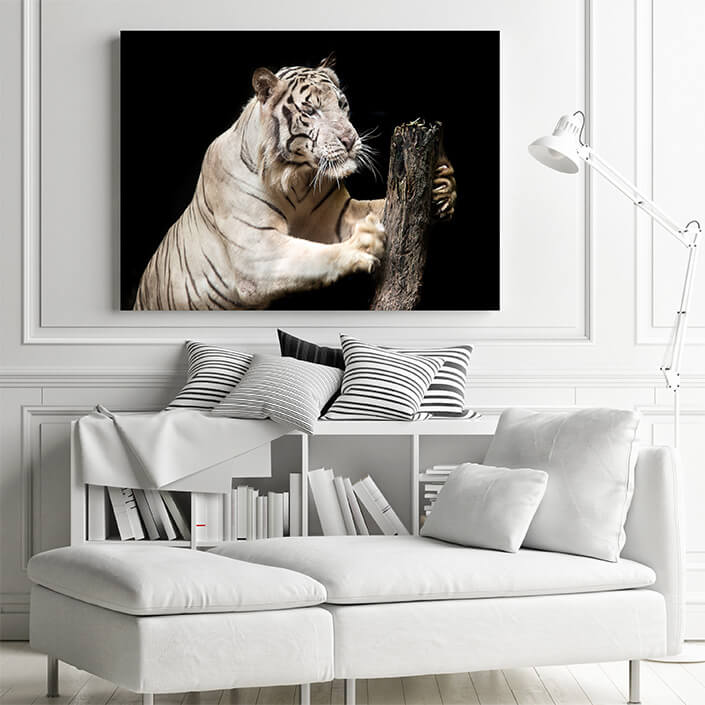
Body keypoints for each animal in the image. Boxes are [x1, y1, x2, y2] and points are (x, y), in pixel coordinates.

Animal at [133, 55, 456, 310]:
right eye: (311, 111)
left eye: (342, 105)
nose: (350, 140)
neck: (297, 181)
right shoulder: (255, 247)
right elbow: (308, 256)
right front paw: (362, 246)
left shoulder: (337, 215)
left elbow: (378, 208)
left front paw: (441, 186)